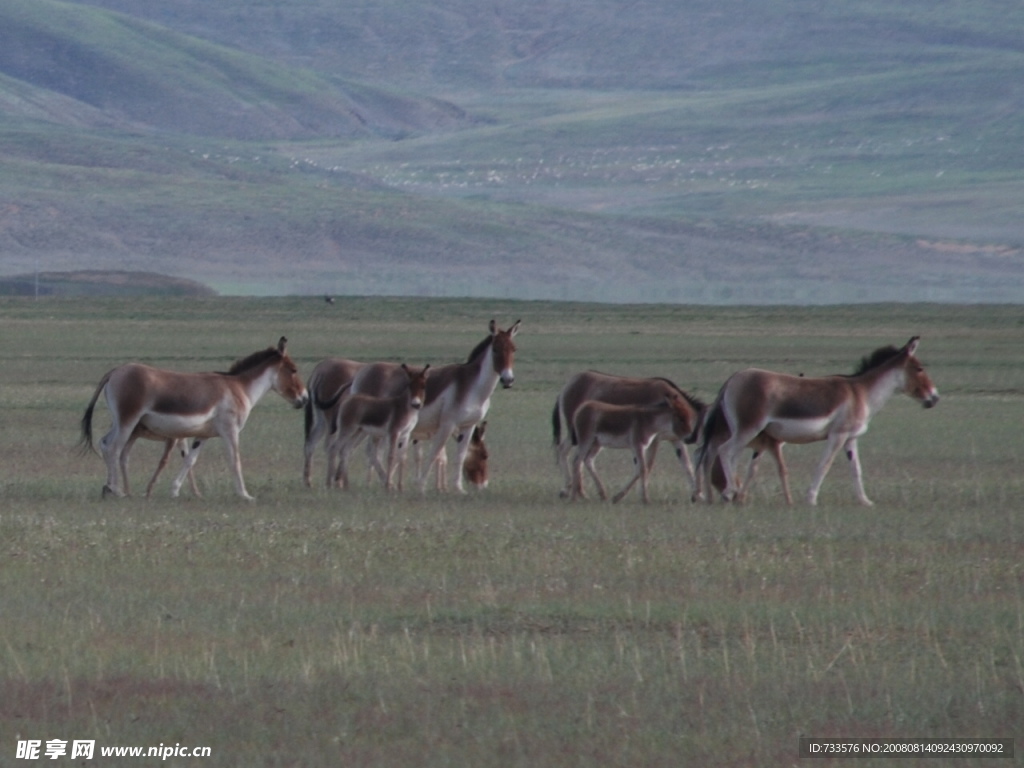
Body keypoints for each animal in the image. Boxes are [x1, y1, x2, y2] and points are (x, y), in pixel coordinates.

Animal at [80, 339, 307, 501]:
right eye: (294, 369)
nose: (304, 398)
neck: (239, 388)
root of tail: (116, 371)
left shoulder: (202, 435)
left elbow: (190, 460)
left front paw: (175, 491)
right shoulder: (230, 430)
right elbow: (235, 460)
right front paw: (245, 495)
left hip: (121, 422)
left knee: (105, 443)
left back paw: (108, 489)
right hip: (128, 421)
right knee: (113, 448)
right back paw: (115, 490)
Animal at [712, 335, 937, 505]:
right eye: (919, 368)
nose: (935, 398)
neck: (861, 393)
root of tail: (733, 378)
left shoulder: (850, 439)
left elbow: (856, 470)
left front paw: (865, 501)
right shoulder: (838, 435)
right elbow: (825, 464)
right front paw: (811, 499)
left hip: (743, 430)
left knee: (733, 455)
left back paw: (733, 494)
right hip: (750, 428)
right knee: (724, 450)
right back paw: (729, 491)